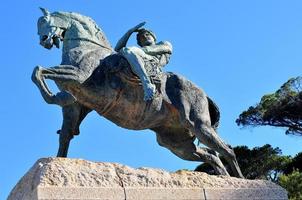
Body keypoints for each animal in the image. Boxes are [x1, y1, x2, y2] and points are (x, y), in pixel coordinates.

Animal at [31, 8, 244, 178]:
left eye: (44, 21)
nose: (43, 41)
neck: (87, 48)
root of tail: (203, 94)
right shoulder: (76, 104)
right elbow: (65, 133)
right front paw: (59, 159)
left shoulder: (78, 76)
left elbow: (38, 71)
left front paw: (53, 96)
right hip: (176, 143)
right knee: (212, 156)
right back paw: (224, 178)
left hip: (199, 124)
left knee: (227, 150)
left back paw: (240, 180)